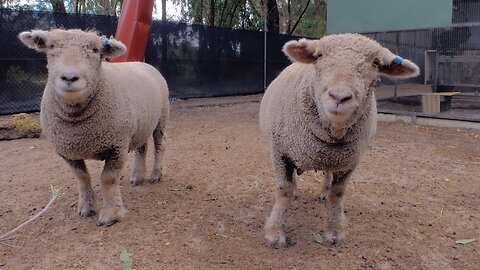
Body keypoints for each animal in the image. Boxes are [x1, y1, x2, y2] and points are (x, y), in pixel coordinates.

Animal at [17, 29, 170, 226]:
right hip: (141, 123)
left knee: (160, 144)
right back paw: (137, 177)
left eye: (95, 50)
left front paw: (110, 214)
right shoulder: (67, 151)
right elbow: (82, 177)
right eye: (51, 46)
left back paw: (155, 175)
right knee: (142, 147)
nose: (69, 77)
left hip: (161, 117)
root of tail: (142, 63)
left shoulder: (117, 145)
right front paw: (86, 208)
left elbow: (108, 179)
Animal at [258, 33, 420, 247]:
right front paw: (275, 233)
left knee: (328, 173)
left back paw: (324, 192)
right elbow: (284, 190)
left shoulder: (350, 161)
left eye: (376, 62)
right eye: (319, 55)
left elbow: (338, 194)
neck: (333, 130)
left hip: (335, 157)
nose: (339, 96)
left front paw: (334, 231)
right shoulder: (280, 151)